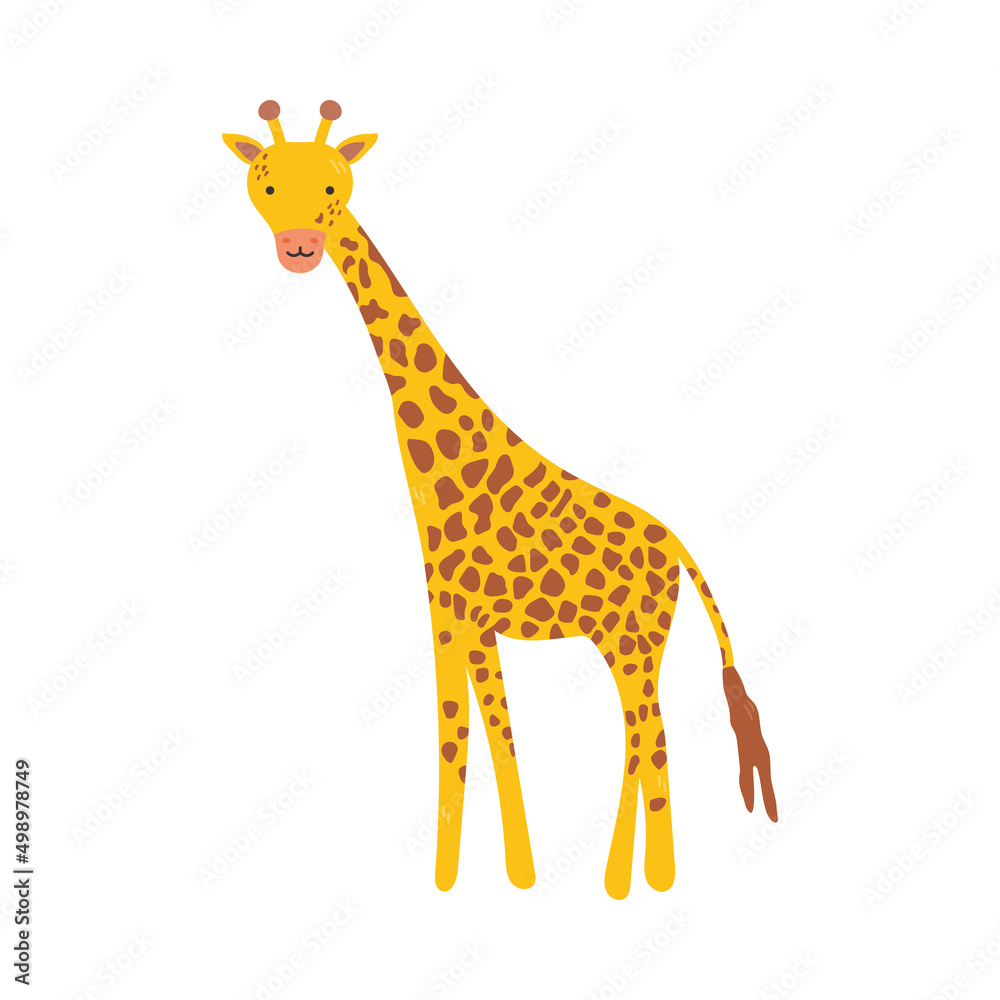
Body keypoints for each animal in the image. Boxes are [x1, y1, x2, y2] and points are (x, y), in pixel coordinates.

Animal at [223, 100, 778, 898]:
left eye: (333, 187)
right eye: (265, 187)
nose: (299, 249)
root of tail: (678, 547)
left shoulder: (459, 614)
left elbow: (467, 735)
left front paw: (474, 877)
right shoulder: (457, 620)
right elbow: (479, 733)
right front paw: (495, 874)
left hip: (633, 640)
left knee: (651, 738)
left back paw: (639, 881)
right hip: (632, 642)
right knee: (644, 735)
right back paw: (634, 876)